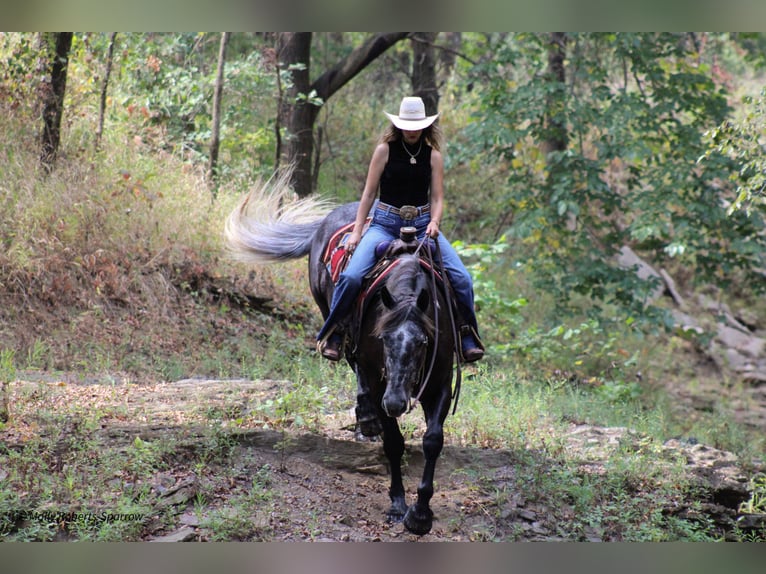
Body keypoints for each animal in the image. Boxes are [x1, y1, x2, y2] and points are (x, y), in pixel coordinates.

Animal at [225, 173, 460, 536]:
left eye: (423, 342)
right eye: (383, 337)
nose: (395, 402)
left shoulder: (440, 383)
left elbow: (433, 440)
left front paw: (420, 514)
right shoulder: (378, 378)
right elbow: (394, 442)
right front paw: (398, 506)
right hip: (337, 324)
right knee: (353, 366)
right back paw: (366, 419)